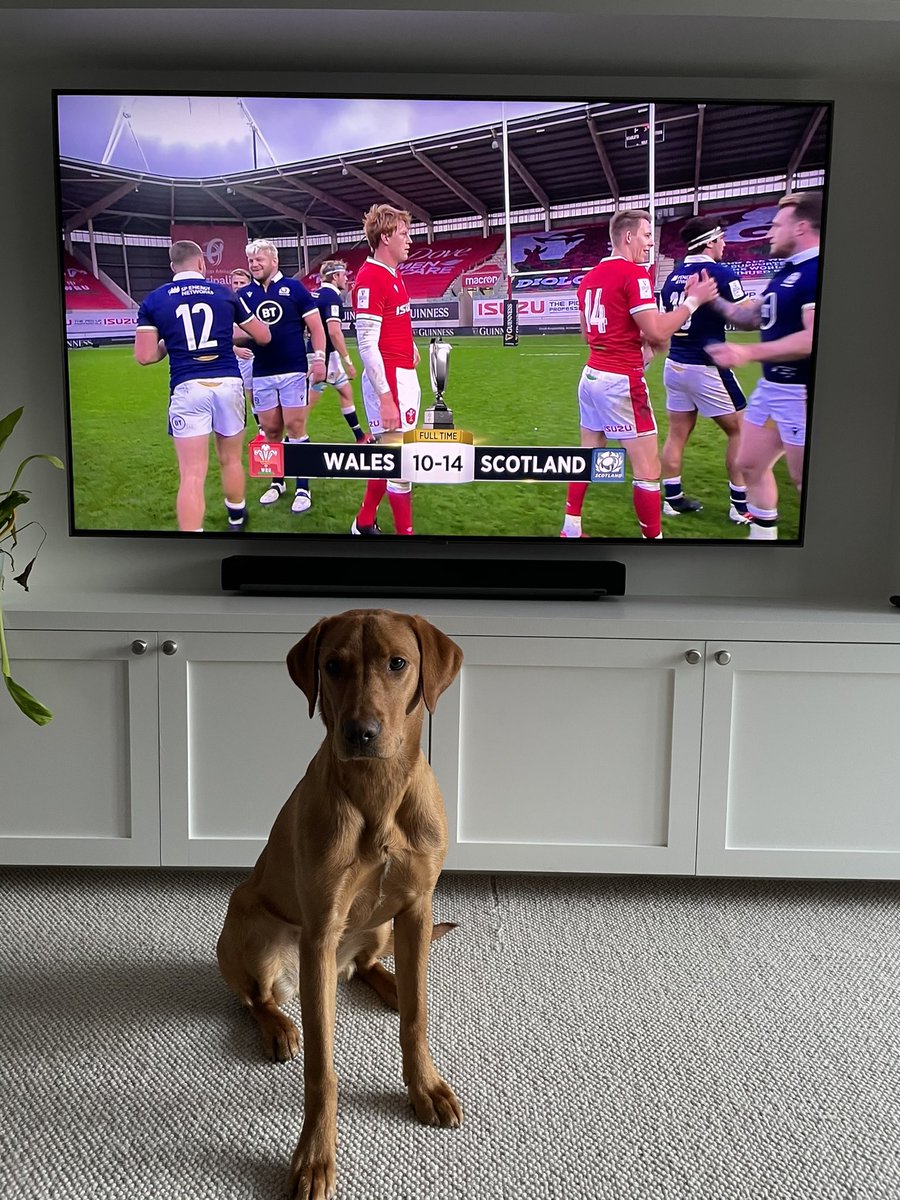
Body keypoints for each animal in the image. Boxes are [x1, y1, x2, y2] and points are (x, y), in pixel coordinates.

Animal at [214, 609, 460, 1200]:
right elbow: (322, 1069)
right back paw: (278, 1026)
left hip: (378, 929)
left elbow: (417, 1019)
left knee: (374, 965)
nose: (360, 733)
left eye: (398, 663)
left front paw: (425, 1086)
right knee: (255, 998)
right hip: (256, 930)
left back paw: (392, 983)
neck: (379, 791)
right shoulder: (320, 931)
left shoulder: (417, 906)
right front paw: (314, 1158)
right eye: (332, 666)